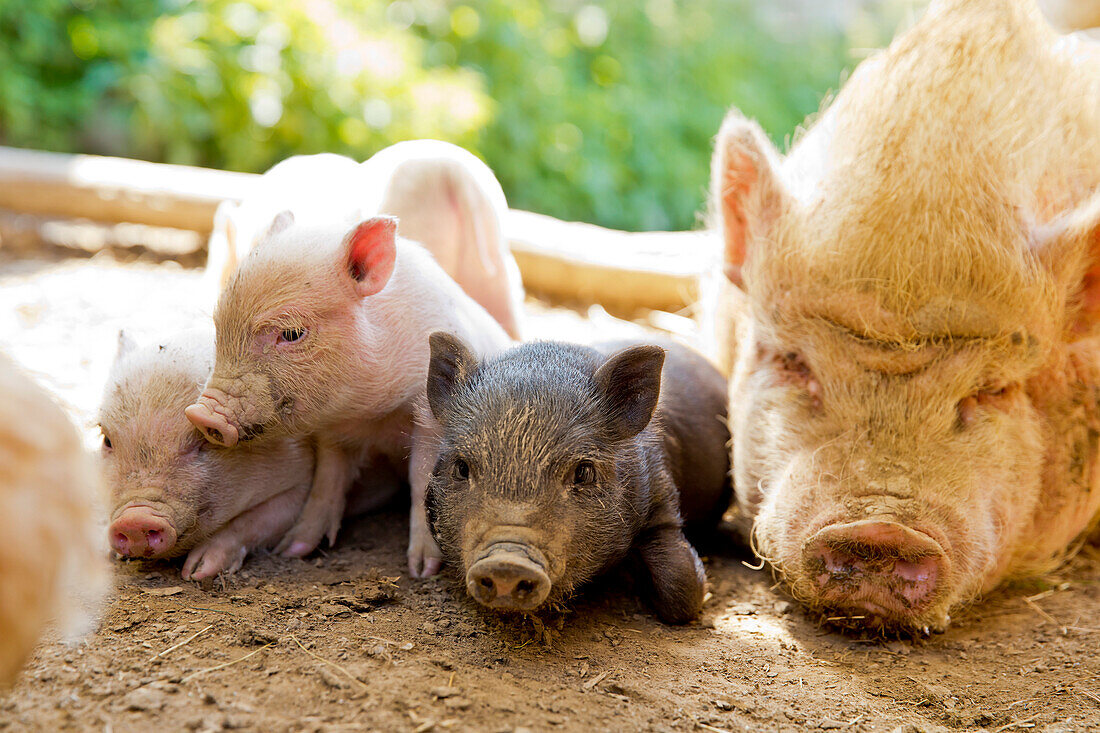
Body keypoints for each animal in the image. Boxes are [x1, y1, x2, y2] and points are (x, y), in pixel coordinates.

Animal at [101, 330, 314, 576]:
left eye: (207, 438)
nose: (134, 521)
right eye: (106, 440)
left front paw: (196, 571)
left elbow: (261, 519)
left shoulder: (303, 476)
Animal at [185, 214, 510, 572]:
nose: (201, 414)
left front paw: (421, 569)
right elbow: (327, 480)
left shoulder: (428, 420)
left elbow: (422, 479)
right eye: (219, 326)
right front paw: (292, 550)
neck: (371, 415)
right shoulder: (332, 431)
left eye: (292, 333)